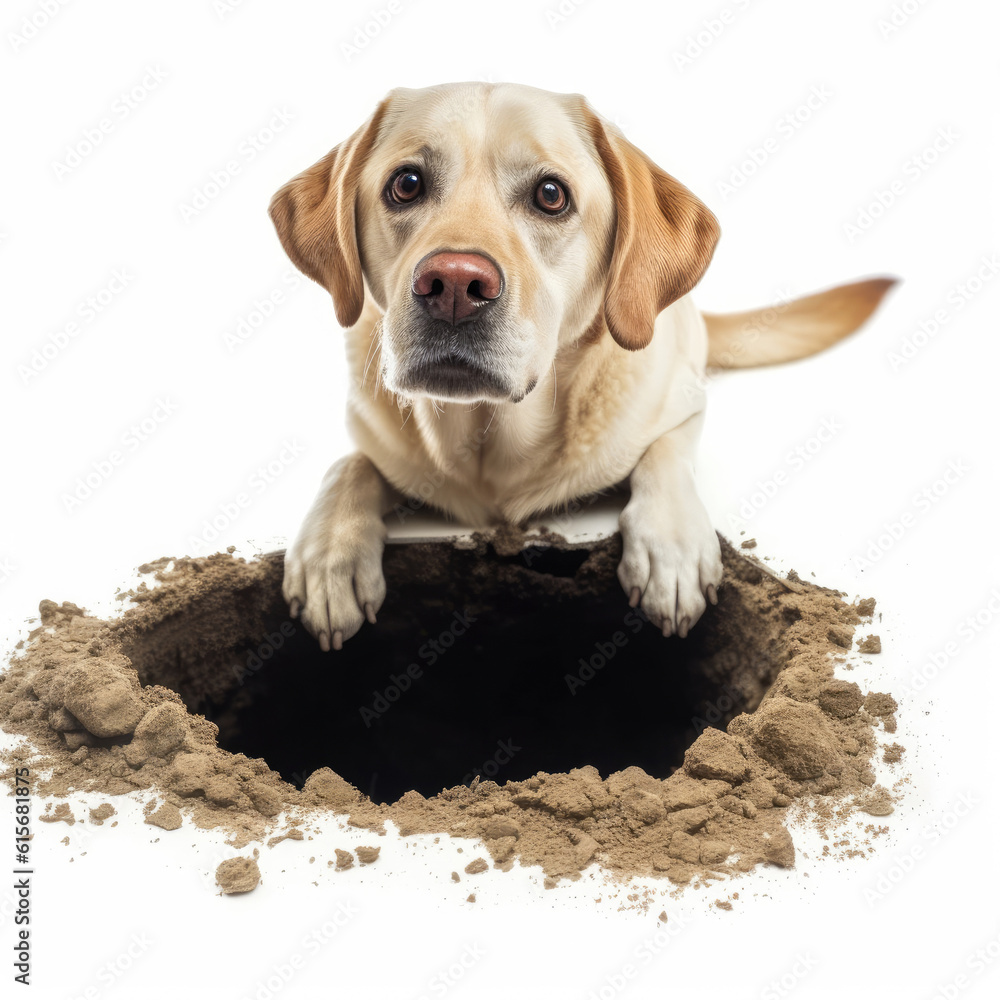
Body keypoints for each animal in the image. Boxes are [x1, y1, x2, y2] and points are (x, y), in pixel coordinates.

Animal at [270, 82, 896, 652]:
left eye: (551, 194)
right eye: (406, 184)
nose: (453, 285)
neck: (490, 446)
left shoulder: (683, 405)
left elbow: (666, 457)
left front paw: (670, 548)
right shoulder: (366, 430)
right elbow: (348, 465)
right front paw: (329, 555)